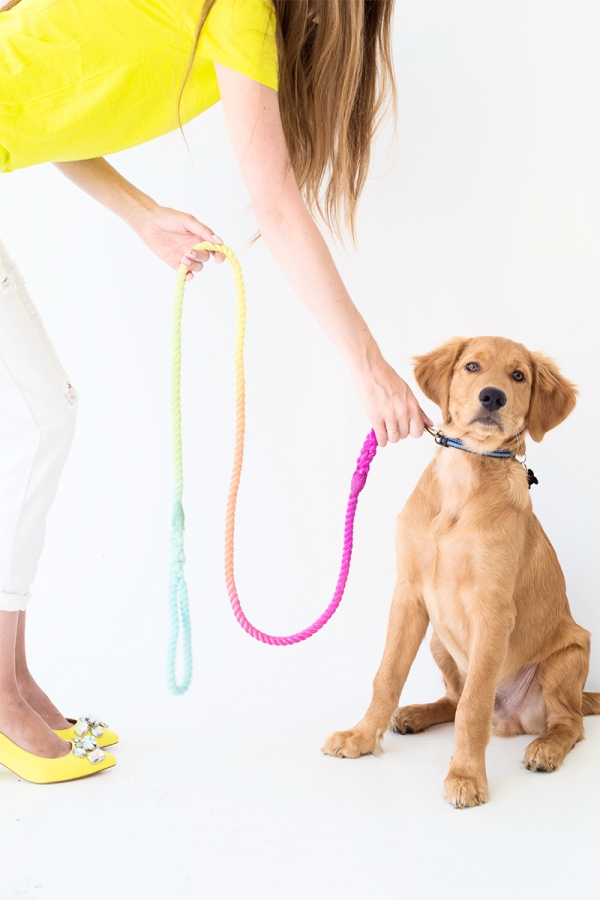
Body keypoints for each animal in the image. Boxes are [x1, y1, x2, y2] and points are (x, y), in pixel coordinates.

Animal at [324, 336, 600, 808]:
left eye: (518, 376)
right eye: (472, 366)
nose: (492, 397)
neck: (464, 479)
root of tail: (511, 720)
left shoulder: (492, 611)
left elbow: (474, 707)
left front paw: (466, 776)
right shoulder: (409, 594)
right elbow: (388, 676)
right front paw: (360, 737)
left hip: (568, 657)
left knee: (567, 723)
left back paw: (545, 747)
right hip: (439, 640)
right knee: (454, 699)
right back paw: (416, 714)